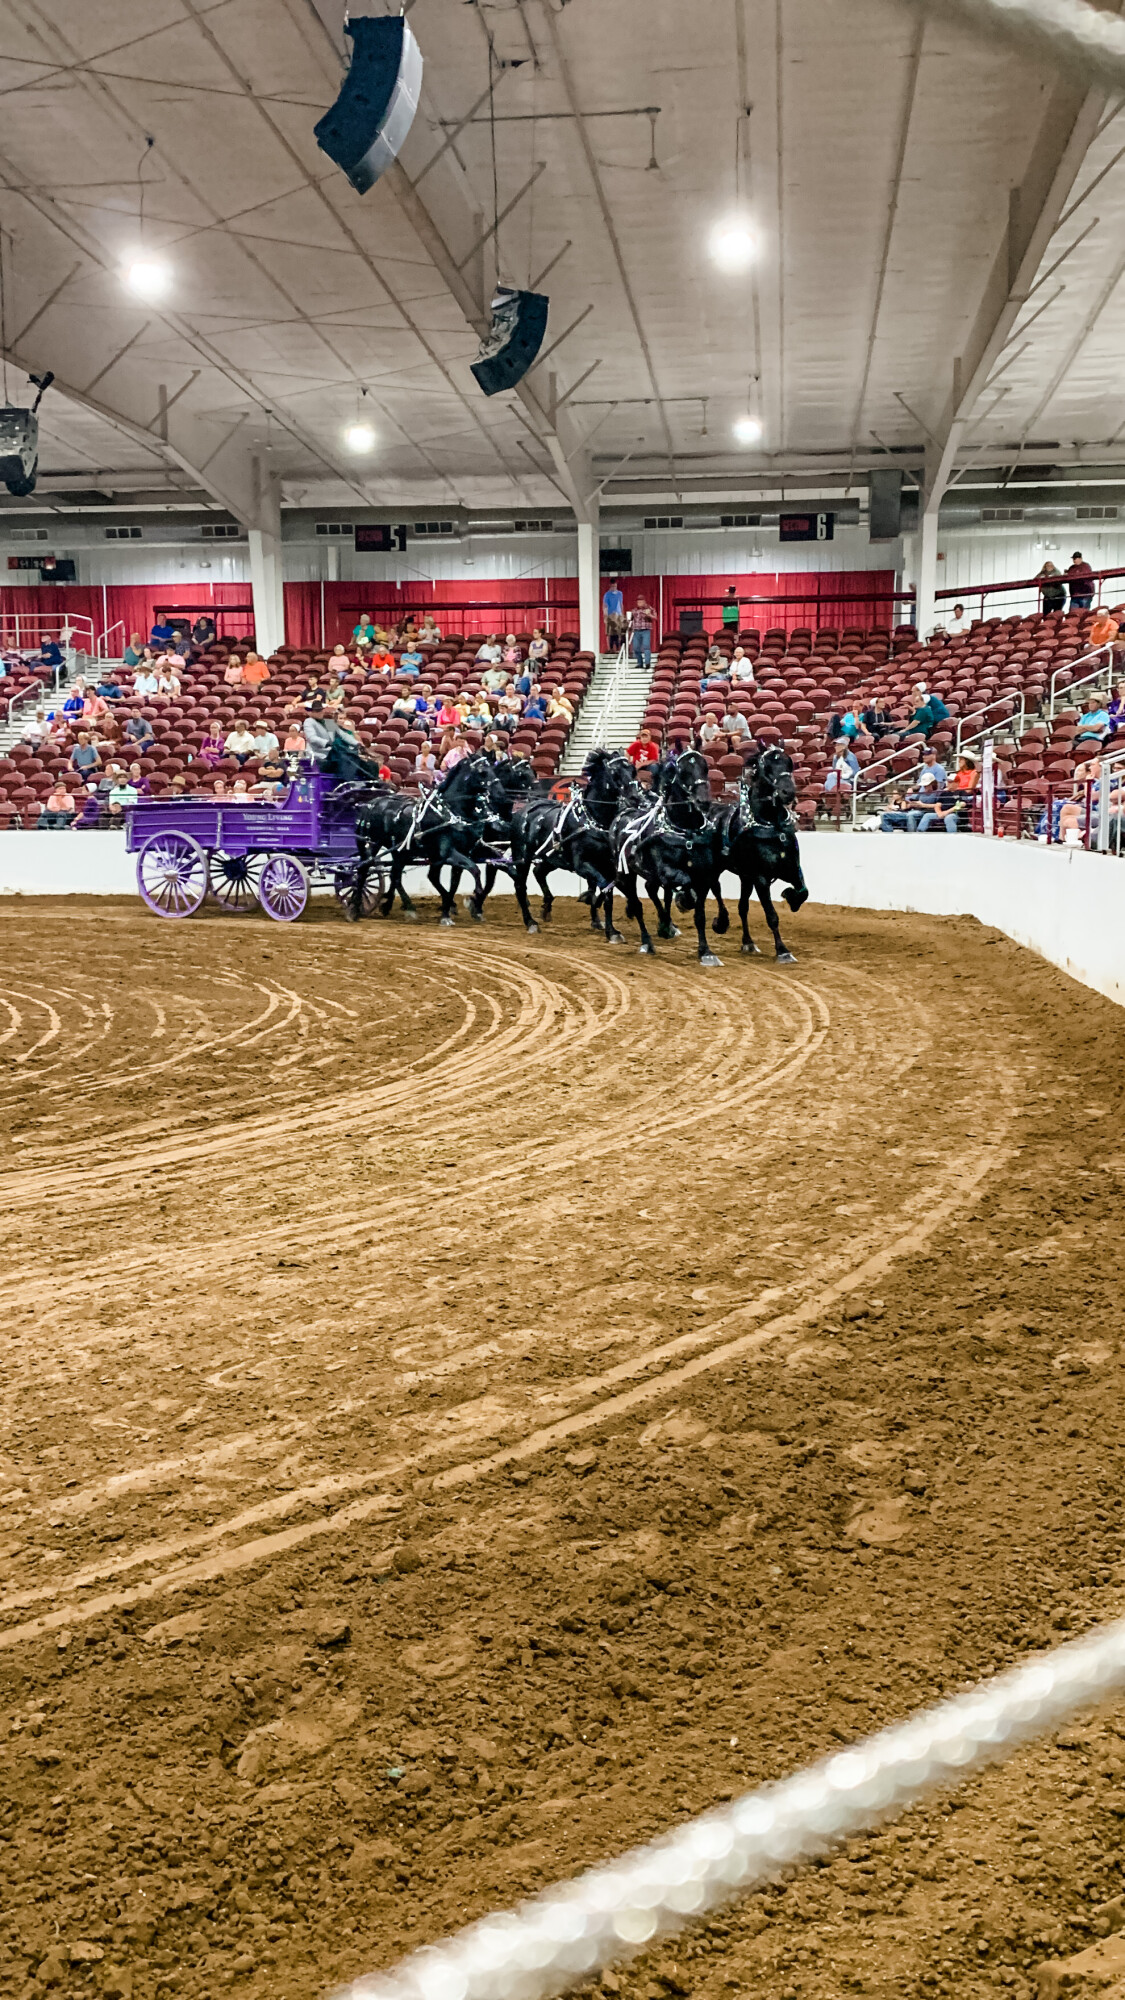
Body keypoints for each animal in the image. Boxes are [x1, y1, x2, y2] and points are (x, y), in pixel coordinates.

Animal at [708, 744, 804, 960]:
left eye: (789, 763)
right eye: (766, 767)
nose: (788, 792)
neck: (772, 825)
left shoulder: (793, 868)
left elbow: (803, 893)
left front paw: (790, 896)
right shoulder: (761, 877)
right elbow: (772, 915)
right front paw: (782, 950)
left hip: (745, 876)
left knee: (742, 907)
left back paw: (748, 942)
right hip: (718, 868)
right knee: (716, 889)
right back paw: (721, 922)